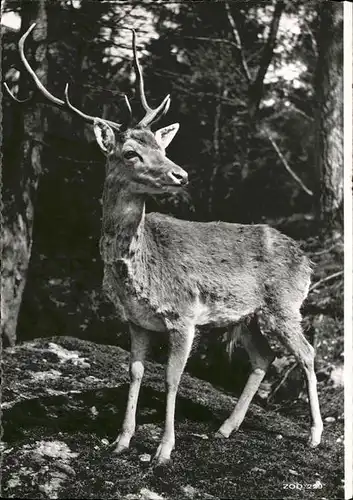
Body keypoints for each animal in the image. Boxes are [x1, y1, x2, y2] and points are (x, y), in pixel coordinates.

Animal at [5, 25, 324, 466]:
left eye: (163, 147)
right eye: (130, 152)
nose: (181, 174)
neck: (137, 271)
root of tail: (308, 262)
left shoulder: (184, 314)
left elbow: (173, 377)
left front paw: (163, 450)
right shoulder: (135, 320)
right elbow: (135, 372)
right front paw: (121, 440)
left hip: (284, 304)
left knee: (306, 353)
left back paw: (315, 435)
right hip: (245, 316)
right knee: (265, 357)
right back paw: (226, 428)